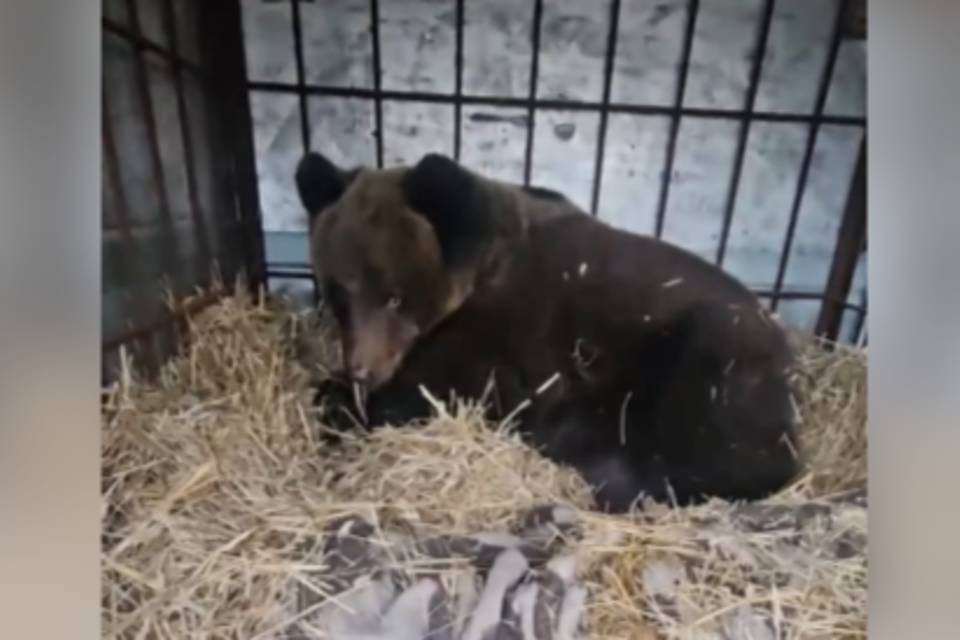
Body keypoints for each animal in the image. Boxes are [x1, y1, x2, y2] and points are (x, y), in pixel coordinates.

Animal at [296, 152, 800, 512]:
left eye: (395, 296)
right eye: (338, 295)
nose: (362, 370)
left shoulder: (504, 337)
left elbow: (440, 391)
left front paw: (345, 403)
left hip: (709, 353)